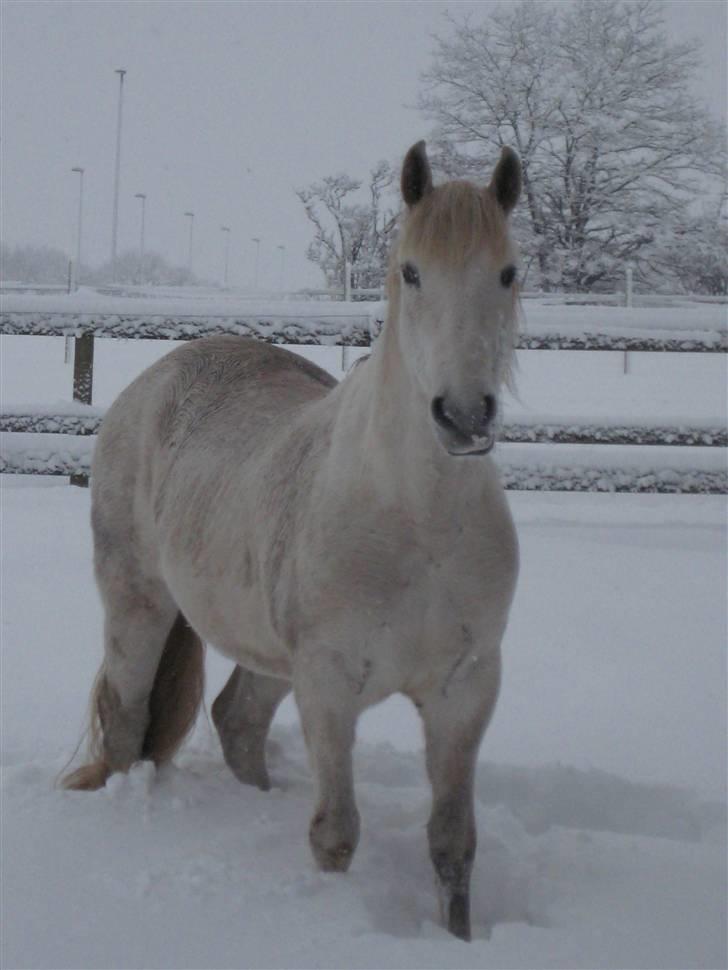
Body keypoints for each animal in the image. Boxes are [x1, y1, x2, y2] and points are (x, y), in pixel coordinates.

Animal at [64, 144, 524, 936]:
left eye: (507, 271)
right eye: (411, 272)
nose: (464, 417)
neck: (416, 521)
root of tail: (153, 380)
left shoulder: (464, 691)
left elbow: (452, 844)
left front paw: (458, 937)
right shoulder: (330, 686)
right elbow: (335, 833)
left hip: (270, 653)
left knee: (237, 720)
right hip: (139, 607)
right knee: (126, 722)